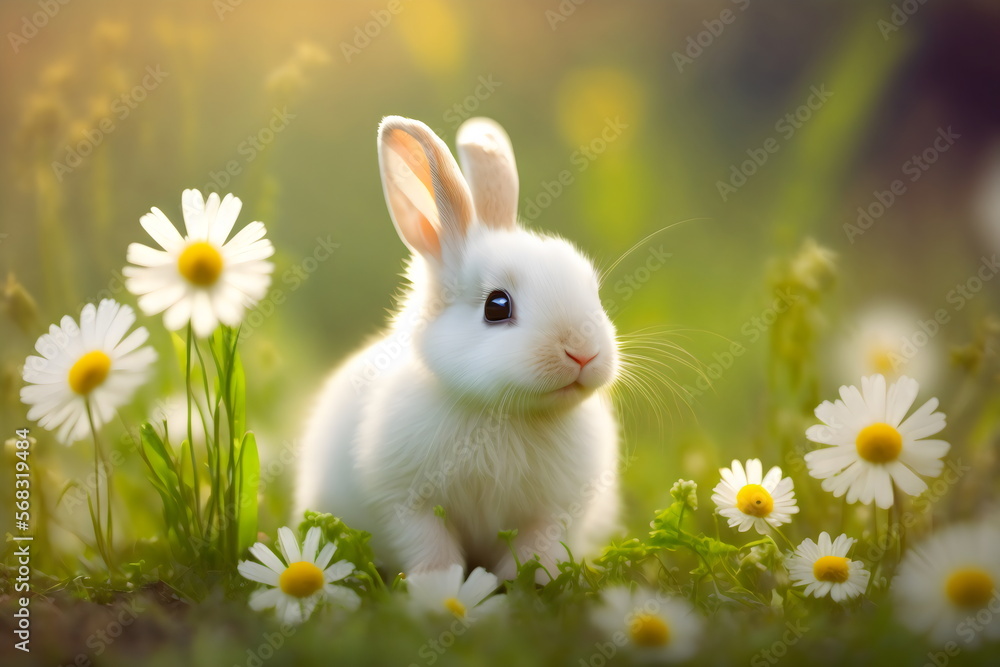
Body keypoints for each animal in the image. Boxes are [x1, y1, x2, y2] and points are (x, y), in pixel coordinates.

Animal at [295, 115, 620, 581]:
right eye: (497, 306)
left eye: (592, 291)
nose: (582, 353)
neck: (506, 415)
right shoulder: (406, 503)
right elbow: (430, 546)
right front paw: (437, 585)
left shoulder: (552, 512)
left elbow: (536, 550)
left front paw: (535, 582)